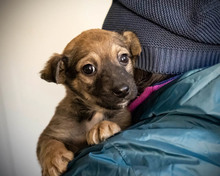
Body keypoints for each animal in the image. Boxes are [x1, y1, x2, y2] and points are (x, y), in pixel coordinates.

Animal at [37, 29, 142, 176]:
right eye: (88, 69)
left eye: (124, 58)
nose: (123, 90)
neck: (94, 111)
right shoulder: (50, 132)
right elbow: (48, 144)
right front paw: (54, 160)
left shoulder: (126, 121)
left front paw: (103, 126)